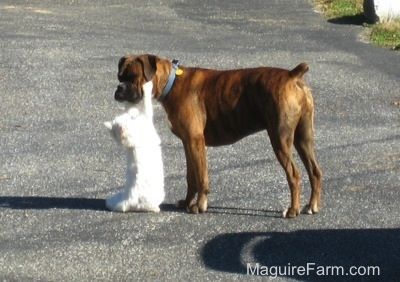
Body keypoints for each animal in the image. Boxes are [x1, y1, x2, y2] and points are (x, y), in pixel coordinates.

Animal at [104, 81, 166, 212]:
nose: (131, 116)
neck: (131, 144)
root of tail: (129, 201)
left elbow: (131, 106)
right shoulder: (146, 116)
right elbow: (146, 103)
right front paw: (147, 85)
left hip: (114, 199)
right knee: (152, 207)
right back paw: (157, 209)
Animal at [113, 54, 322, 218]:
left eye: (132, 77)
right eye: (119, 77)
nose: (119, 89)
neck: (171, 83)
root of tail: (292, 75)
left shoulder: (195, 141)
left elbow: (201, 176)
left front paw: (199, 205)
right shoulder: (188, 143)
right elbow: (191, 177)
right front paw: (187, 202)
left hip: (280, 139)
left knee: (294, 175)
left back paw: (292, 210)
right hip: (303, 139)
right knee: (314, 172)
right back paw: (312, 206)